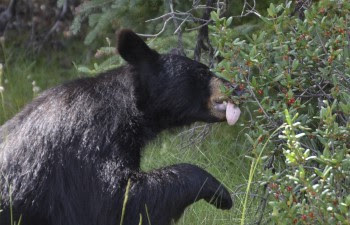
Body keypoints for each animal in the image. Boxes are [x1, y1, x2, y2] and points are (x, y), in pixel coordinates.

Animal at [0, 29, 241, 225]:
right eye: (203, 72)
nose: (237, 87)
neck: (128, 110)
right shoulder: (90, 141)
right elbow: (114, 200)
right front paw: (219, 191)